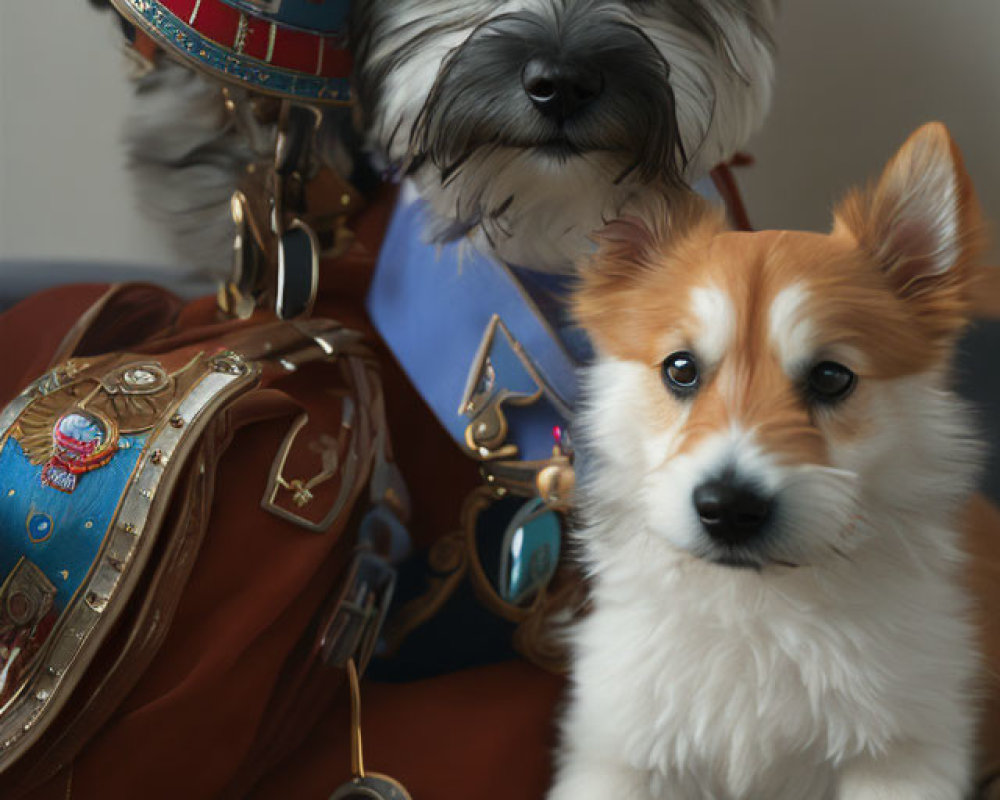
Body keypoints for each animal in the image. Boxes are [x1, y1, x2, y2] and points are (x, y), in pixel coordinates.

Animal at [556, 120, 992, 800]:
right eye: (680, 368)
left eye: (832, 377)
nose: (728, 509)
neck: (758, 609)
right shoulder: (619, 754)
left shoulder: (902, 756)